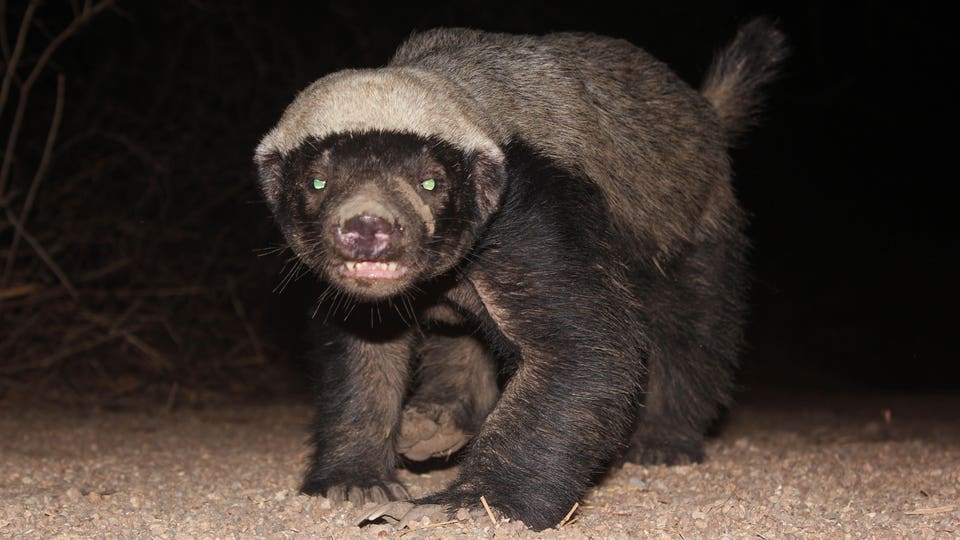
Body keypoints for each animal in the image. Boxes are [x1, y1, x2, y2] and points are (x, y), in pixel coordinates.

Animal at [254, 18, 786, 531]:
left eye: (431, 183)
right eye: (317, 182)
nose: (368, 226)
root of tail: (706, 112)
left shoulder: (535, 210)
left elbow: (580, 349)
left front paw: (473, 503)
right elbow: (363, 350)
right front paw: (355, 482)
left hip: (690, 229)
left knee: (691, 328)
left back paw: (663, 441)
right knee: (460, 333)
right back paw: (436, 424)